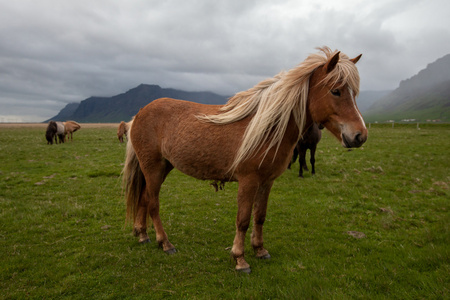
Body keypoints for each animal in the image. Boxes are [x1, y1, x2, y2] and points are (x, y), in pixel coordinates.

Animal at [122, 47, 366, 274]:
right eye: (336, 91)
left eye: (354, 93)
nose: (359, 136)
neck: (268, 128)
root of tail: (139, 114)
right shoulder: (248, 181)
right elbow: (243, 219)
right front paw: (240, 259)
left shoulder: (266, 181)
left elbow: (260, 216)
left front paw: (260, 249)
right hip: (153, 167)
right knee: (153, 203)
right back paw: (165, 243)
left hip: (162, 167)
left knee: (144, 199)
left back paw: (142, 235)